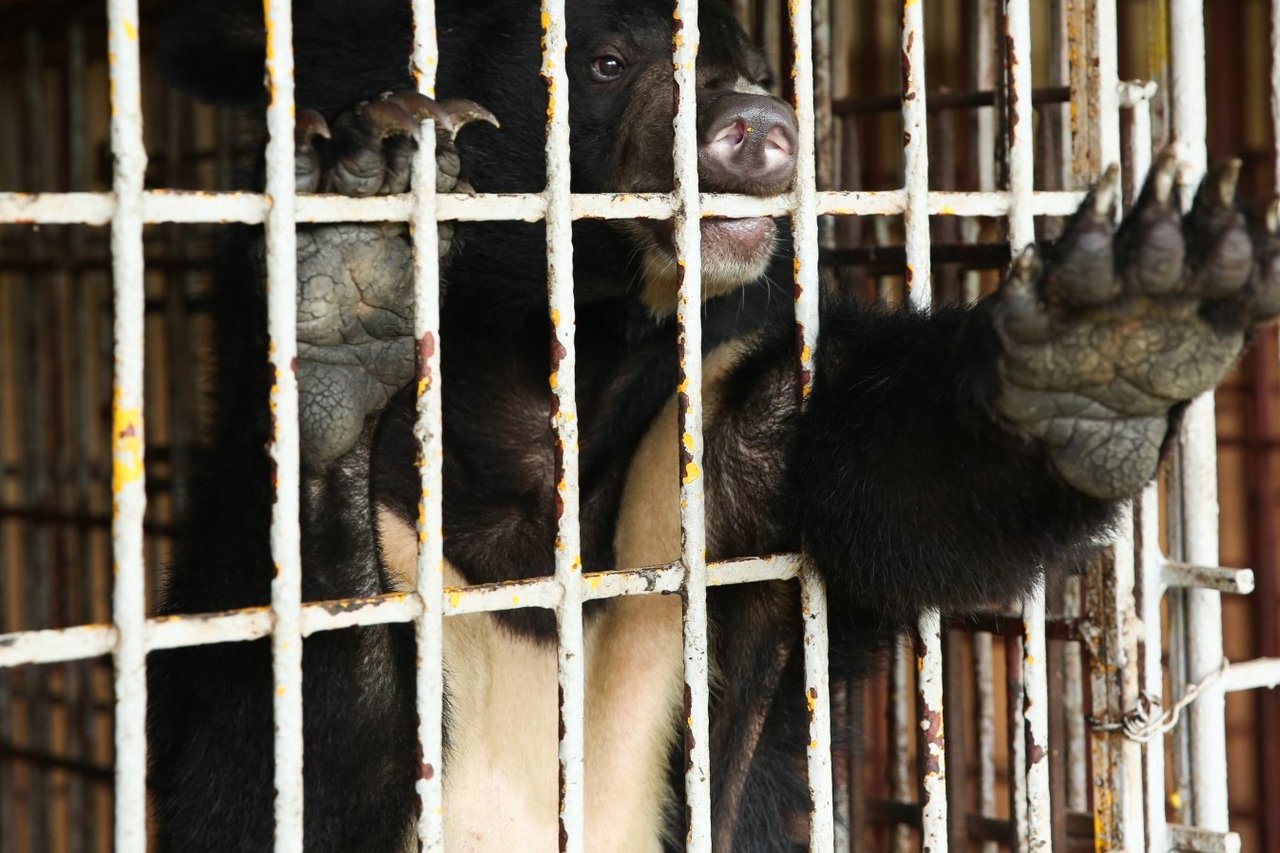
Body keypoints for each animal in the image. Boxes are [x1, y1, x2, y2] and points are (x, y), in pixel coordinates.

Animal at [147, 0, 1280, 845]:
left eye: (748, 65)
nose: (757, 121)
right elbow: (275, 748)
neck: (558, 374)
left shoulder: (721, 416)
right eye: (606, 62)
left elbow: (895, 483)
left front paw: (1120, 341)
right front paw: (350, 273)